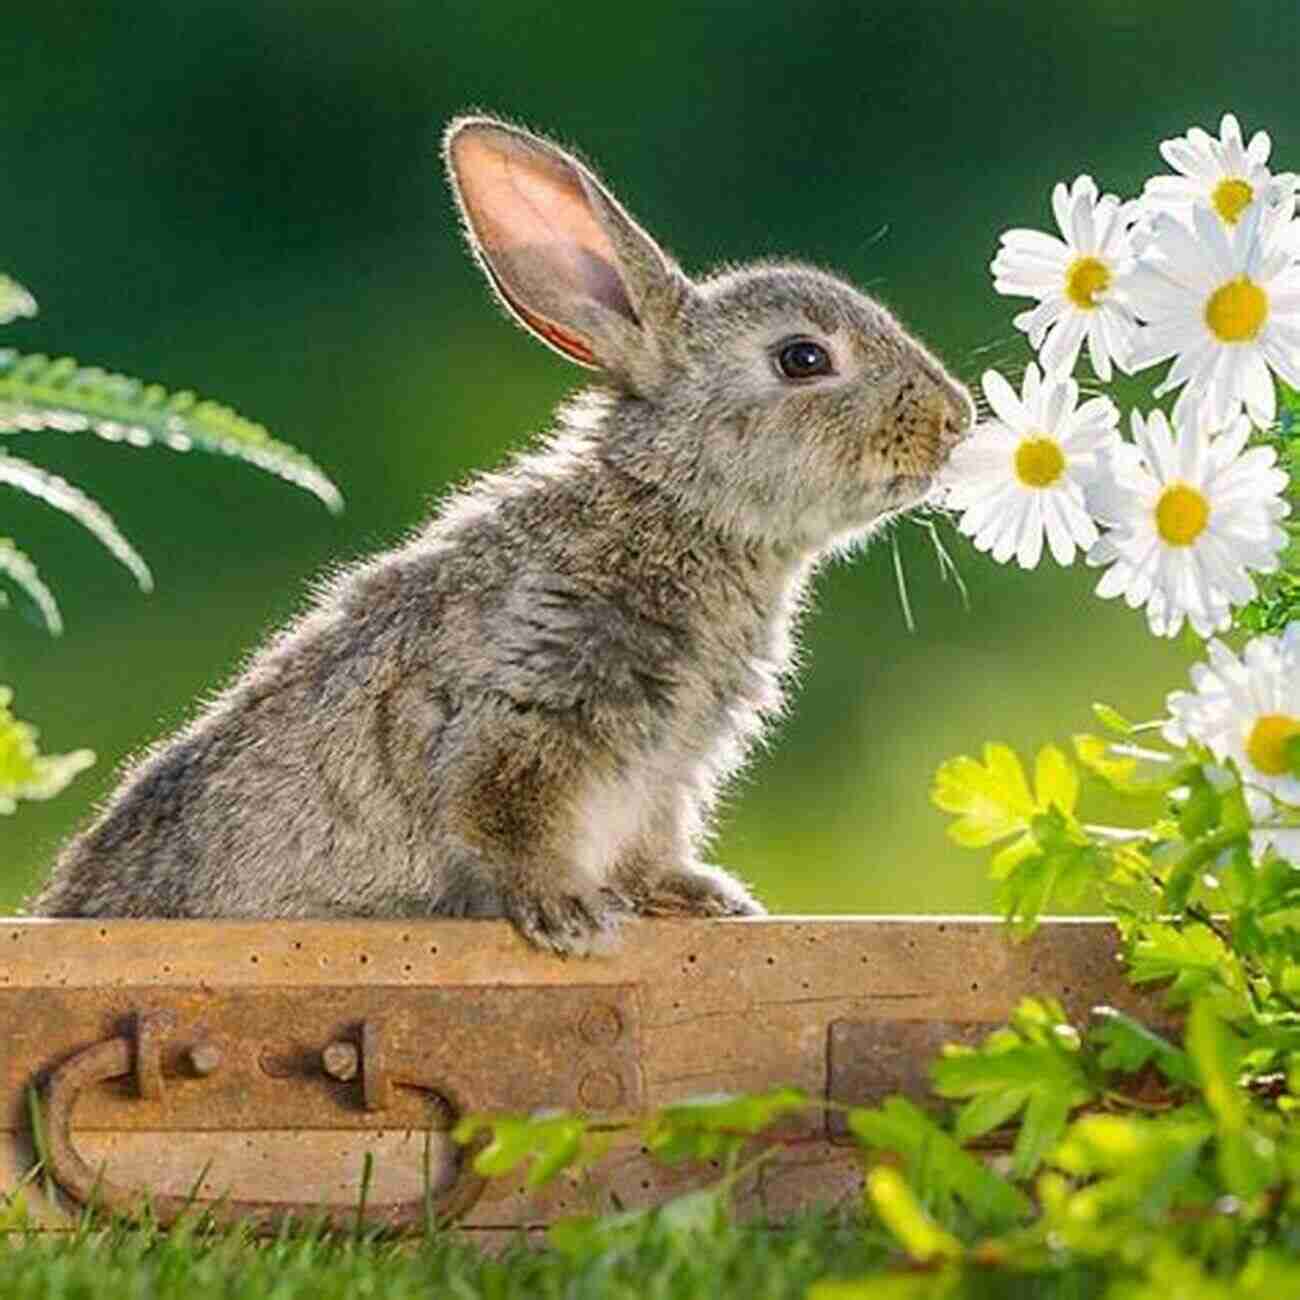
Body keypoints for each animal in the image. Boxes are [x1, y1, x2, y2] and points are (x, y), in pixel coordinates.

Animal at [30, 116, 972, 951]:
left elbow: (648, 848)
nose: (954, 420)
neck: (670, 508)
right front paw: (570, 919)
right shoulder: (518, 710)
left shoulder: (661, 778)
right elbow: (503, 820)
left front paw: (702, 898)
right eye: (802, 359)